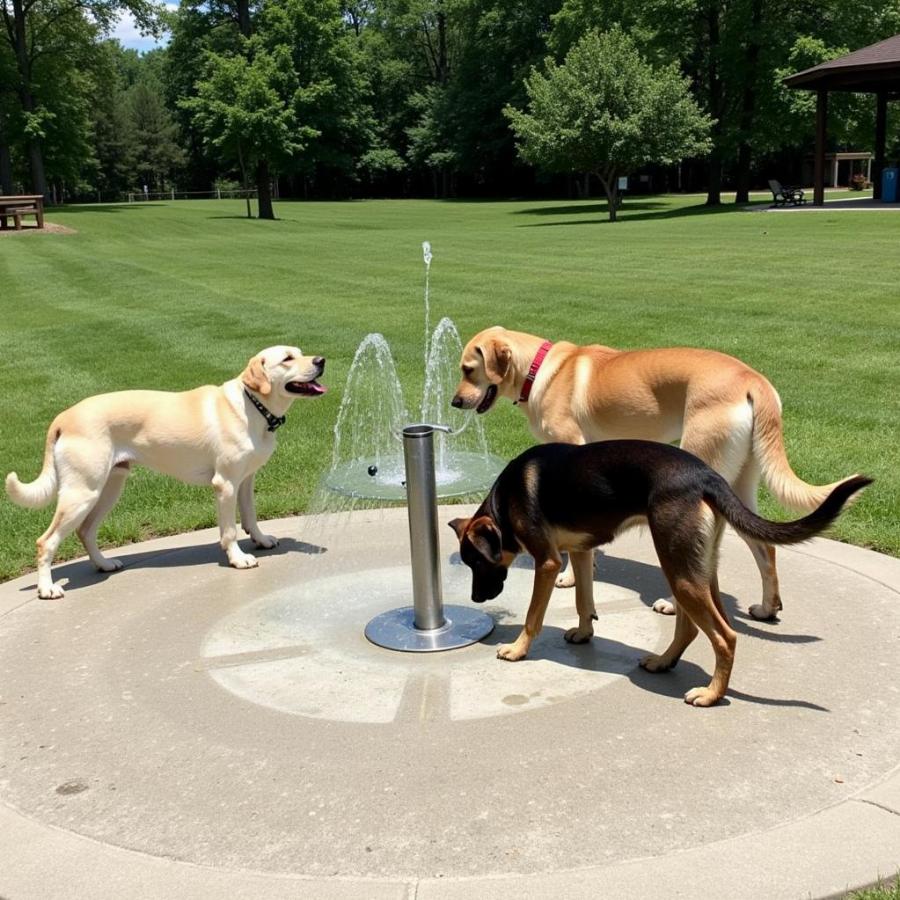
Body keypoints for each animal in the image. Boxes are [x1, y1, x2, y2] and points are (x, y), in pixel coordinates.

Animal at [7, 344, 326, 596]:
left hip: (108, 487)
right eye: (287, 359)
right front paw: (238, 559)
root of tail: (63, 416)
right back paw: (47, 588)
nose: (321, 360)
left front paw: (260, 540)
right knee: (46, 541)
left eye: (300, 352)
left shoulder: (245, 480)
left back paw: (104, 564)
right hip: (82, 492)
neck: (253, 405)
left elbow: (250, 516)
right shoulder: (225, 484)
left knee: (85, 531)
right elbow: (230, 530)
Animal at [450, 440, 872, 708]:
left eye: (476, 563)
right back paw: (664, 662)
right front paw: (584, 633)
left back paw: (711, 695)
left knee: (725, 636)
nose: (475, 599)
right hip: (693, 568)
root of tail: (708, 476)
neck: (503, 503)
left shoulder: (548, 562)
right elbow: (584, 599)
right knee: (692, 628)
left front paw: (518, 649)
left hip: (678, 568)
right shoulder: (581, 551)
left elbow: (533, 616)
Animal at [454, 326, 856, 624]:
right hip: (740, 484)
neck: (541, 372)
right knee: (765, 546)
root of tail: (752, 378)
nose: (455, 402)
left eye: (467, 369)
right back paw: (768, 607)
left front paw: (568, 577)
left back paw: (673, 604)